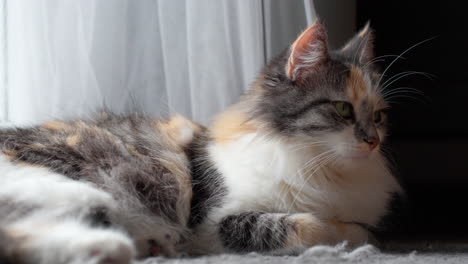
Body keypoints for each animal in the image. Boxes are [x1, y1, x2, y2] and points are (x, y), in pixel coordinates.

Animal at [0, 21, 402, 264]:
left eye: (379, 116)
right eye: (343, 109)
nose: (372, 141)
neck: (323, 170)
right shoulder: (212, 222)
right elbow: (311, 225)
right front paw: (356, 237)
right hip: (73, 189)